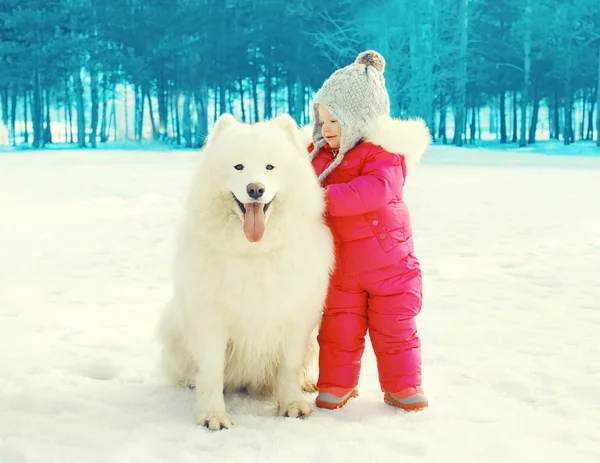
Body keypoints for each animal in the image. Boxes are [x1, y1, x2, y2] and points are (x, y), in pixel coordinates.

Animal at [156, 113, 332, 432]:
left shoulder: (295, 320)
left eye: (270, 167)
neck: (254, 252)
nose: (255, 189)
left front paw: (292, 405)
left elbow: (288, 367)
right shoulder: (210, 320)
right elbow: (211, 372)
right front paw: (213, 415)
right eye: (238, 167)